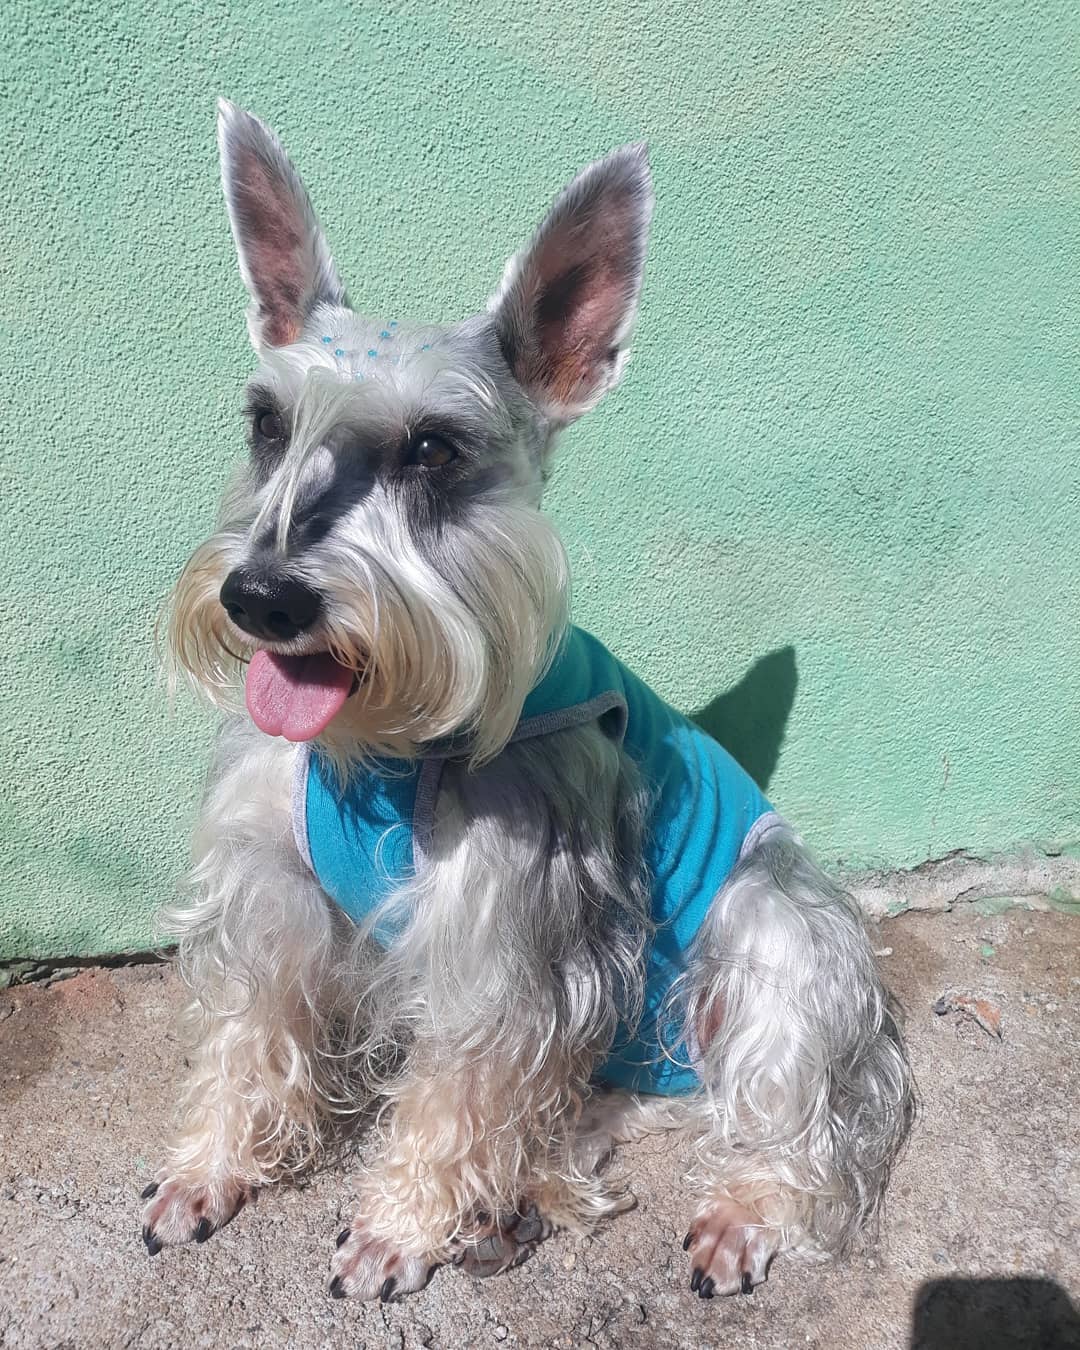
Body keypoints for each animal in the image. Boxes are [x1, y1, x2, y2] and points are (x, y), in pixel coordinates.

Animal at [143, 99, 918, 1301]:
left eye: (432, 447)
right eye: (267, 423)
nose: (262, 596)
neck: (382, 748)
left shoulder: (503, 931)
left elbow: (461, 1087)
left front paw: (397, 1226)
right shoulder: (267, 886)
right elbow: (246, 1033)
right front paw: (210, 1167)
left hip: (774, 928)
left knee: (792, 1120)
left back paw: (737, 1212)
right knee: (592, 1104)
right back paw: (532, 1189)